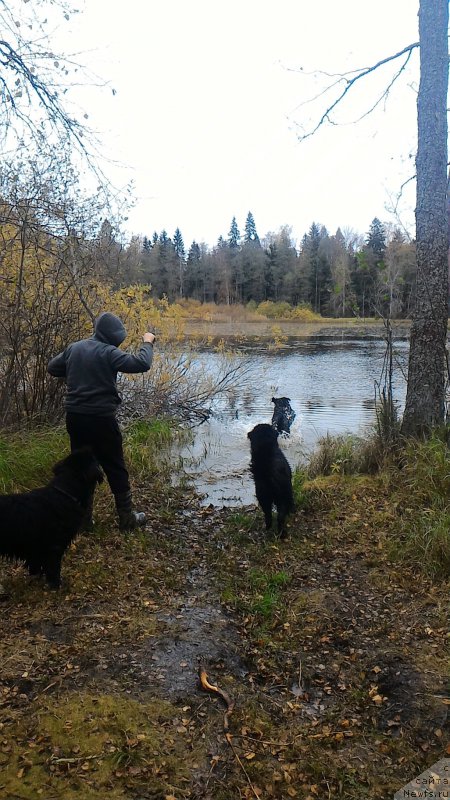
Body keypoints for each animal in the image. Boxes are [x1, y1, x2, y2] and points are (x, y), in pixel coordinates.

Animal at [0, 450, 103, 588]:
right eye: (95, 460)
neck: (63, 494)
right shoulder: (55, 547)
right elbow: (53, 568)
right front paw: (56, 585)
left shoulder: (36, 551)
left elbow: (36, 565)